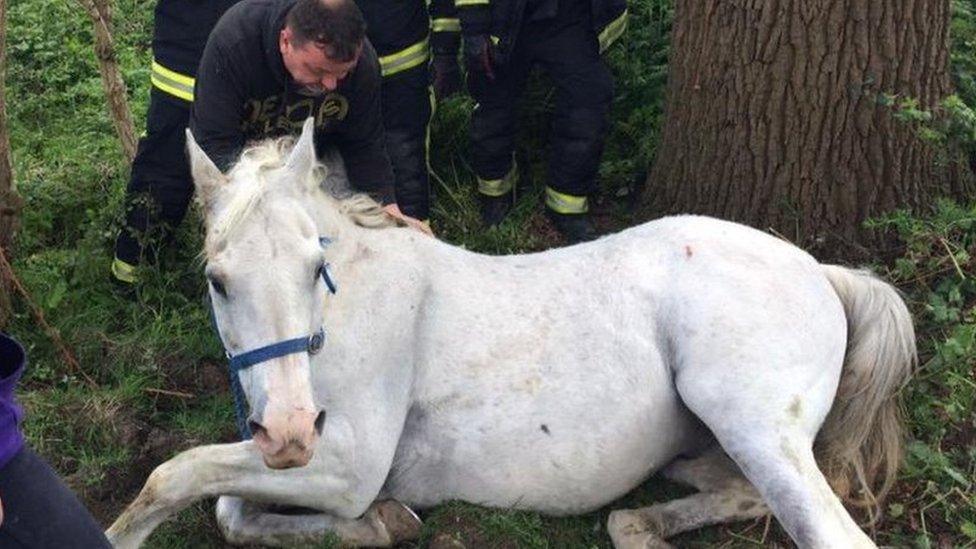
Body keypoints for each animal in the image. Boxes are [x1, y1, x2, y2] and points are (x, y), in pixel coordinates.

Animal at [107, 120, 916, 548]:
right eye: (218, 280)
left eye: (316, 268)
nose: (289, 432)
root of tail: (823, 271)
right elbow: (230, 508)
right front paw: (385, 522)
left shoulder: (346, 464)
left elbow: (174, 475)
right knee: (736, 493)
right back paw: (642, 520)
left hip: (752, 423)